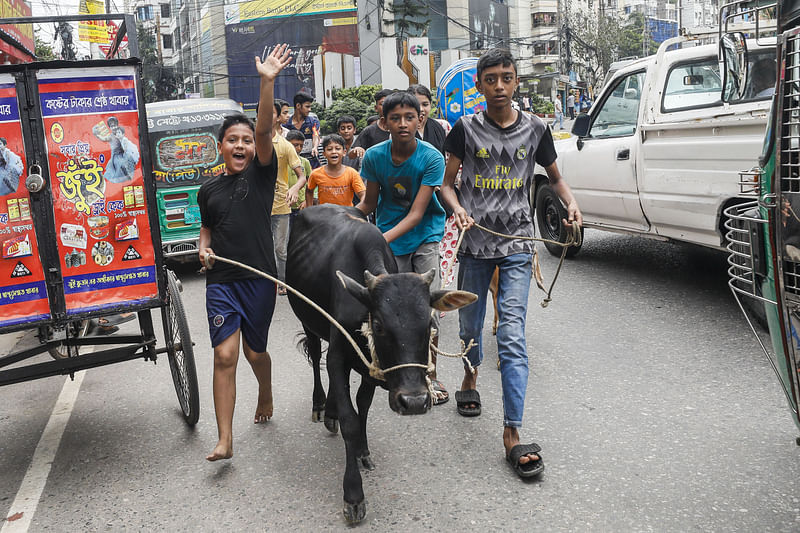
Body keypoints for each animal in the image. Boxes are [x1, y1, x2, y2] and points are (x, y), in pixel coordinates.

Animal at [286, 205, 476, 524]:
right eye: (379, 325)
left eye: (429, 324)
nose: (414, 402)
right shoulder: (337, 356)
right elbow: (350, 420)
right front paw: (353, 495)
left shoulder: (374, 370)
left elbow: (362, 404)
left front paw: (362, 450)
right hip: (307, 319)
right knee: (314, 357)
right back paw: (321, 406)